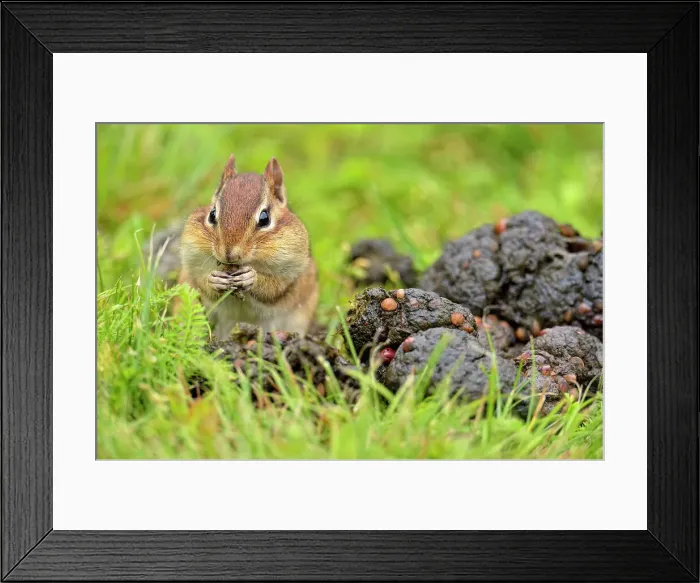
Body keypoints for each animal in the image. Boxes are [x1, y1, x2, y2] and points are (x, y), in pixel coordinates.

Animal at [180, 154, 319, 338]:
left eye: (265, 218)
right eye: (212, 214)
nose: (229, 254)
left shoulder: (291, 272)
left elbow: (274, 288)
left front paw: (251, 277)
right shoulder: (191, 263)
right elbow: (201, 283)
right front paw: (214, 279)